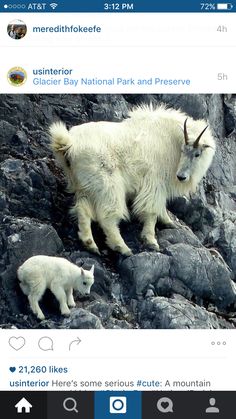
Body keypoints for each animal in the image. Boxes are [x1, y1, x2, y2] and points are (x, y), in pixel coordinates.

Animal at [49, 105, 216, 256]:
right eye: (183, 150)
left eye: (197, 154)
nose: (181, 176)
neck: (171, 140)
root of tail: (69, 144)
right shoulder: (154, 181)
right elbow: (151, 211)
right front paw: (151, 241)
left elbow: (160, 206)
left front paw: (169, 222)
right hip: (108, 184)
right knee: (107, 217)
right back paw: (122, 247)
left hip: (85, 185)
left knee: (82, 209)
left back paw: (90, 244)